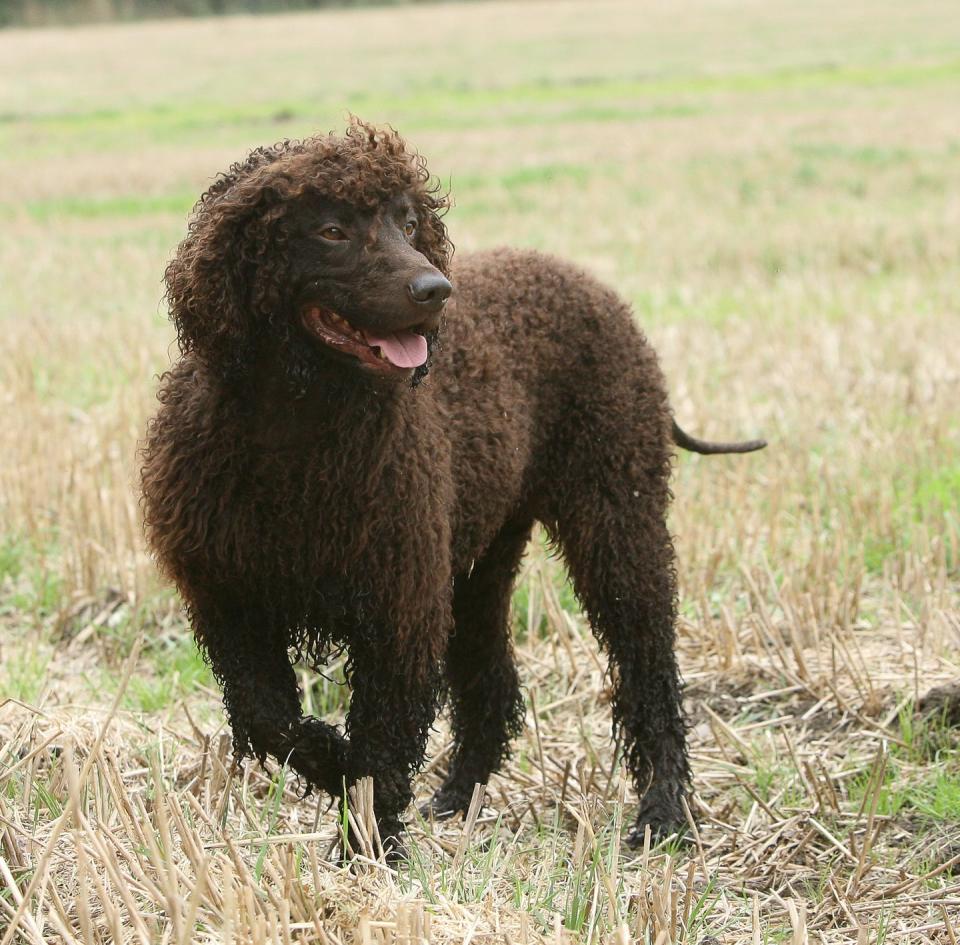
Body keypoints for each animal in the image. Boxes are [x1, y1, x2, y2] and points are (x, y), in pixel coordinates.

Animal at [139, 121, 764, 852]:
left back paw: (663, 812)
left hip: (616, 516)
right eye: (332, 230)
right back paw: (460, 796)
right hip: (479, 558)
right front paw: (334, 769)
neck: (296, 433)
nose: (434, 290)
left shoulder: (399, 604)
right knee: (492, 686)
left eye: (408, 223)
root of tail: (590, 285)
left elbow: (381, 739)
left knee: (649, 669)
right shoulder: (231, 598)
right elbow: (274, 721)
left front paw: (367, 846)